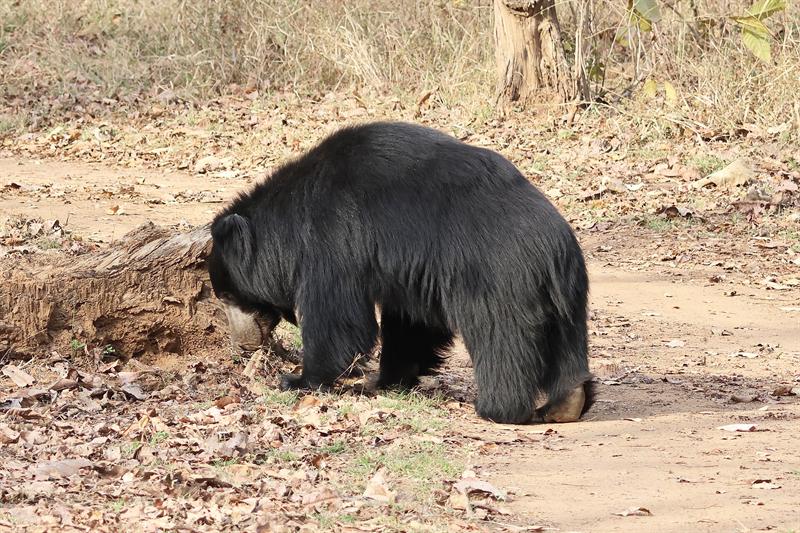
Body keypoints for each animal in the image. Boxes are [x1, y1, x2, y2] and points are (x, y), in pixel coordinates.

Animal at [207, 121, 593, 424]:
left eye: (229, 295)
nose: (242, 344)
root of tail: (553, 249)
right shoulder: (412, 272)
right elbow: (411, 324)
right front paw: (390, 379)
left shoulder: (333, 238)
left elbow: (336, 315)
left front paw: (299, 379)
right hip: (568, 295)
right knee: (566, 341)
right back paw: (566, 403)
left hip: (497, 281)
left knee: (500, 338)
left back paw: (497, 409)